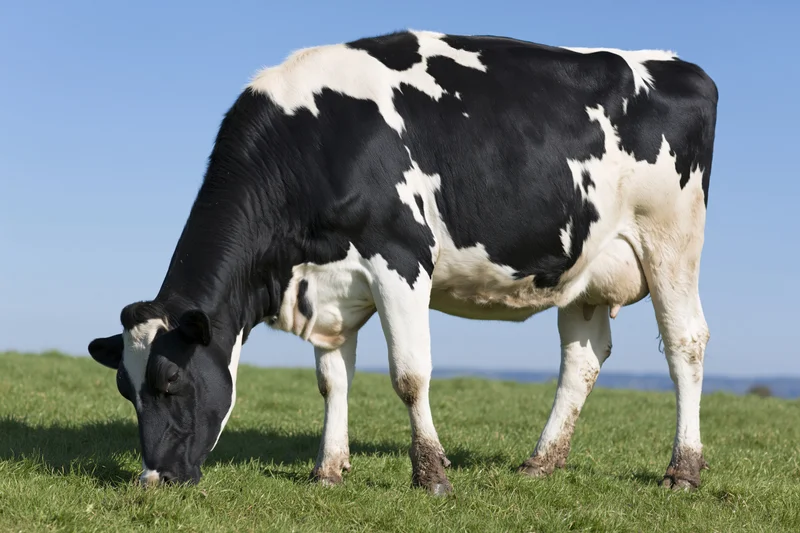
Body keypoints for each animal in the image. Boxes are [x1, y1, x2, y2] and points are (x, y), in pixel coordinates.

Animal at [87, 30, 718, 495]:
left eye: (171, 382)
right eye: (125, 389)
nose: (153, 478)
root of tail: (678, 65)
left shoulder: (400, 255)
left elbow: (410, 375)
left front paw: (432, 475)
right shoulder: (328, 287)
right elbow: (331, 380)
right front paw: (329, 470)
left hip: (671, 240)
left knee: (685, 342)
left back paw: (682, 470)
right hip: (585, 266)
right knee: (582, 359)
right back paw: (542, 462)